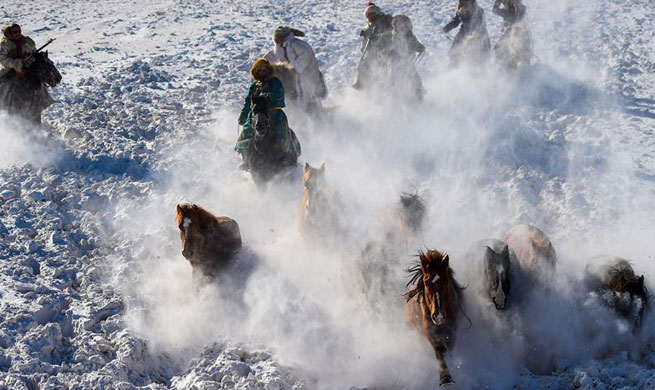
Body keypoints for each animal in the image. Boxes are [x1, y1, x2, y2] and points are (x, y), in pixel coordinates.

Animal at [404, 250, 466, 386]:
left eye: (446, 280)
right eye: (426, 282)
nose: (438, 315)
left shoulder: (452, 330)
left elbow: (448, 350)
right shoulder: (430, 332)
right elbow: (439, 352)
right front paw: (445, 377)